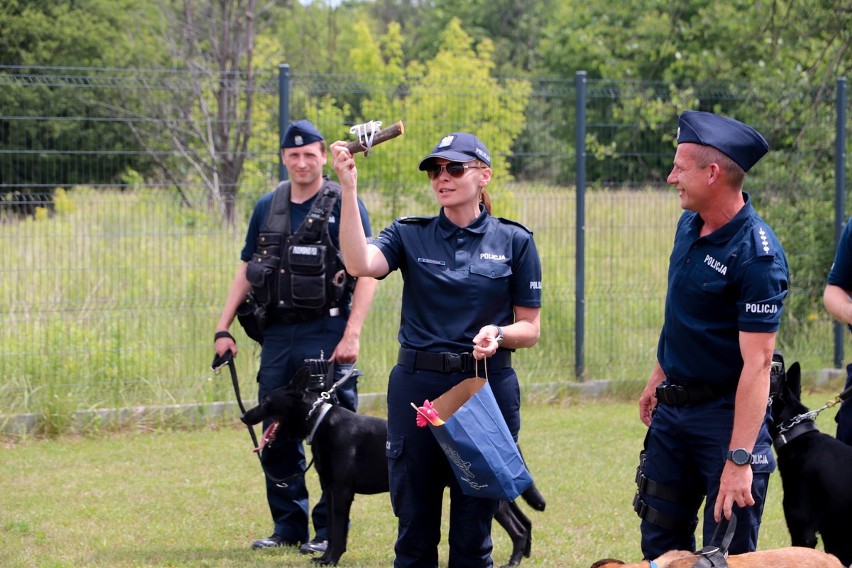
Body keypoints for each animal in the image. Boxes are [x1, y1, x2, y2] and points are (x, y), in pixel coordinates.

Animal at [240, 368, 544, 564]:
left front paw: (331, 559)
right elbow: (334, 529)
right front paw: (325, 558)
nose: (244, 416)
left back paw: (514, 561)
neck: (320, 419)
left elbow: (338, 532)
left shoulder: (341, 492)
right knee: (524, 523)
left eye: (266, 401)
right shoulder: (330, 490)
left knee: (518, 527)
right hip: (499, 494)